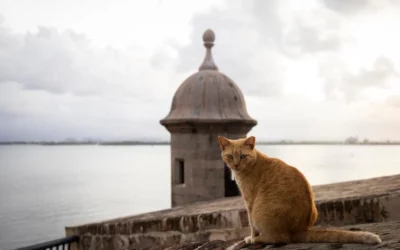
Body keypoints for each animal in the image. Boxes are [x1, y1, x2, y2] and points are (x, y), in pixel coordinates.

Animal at [219, 136, 382, 245]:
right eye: (230, 156)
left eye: (243, 156)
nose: (236, 164)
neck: (252, 164)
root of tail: (299, 230)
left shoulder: (249, 202)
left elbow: (252, 225)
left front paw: (251, 236)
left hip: (260, 212)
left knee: (278, 238)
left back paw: (254, 240)